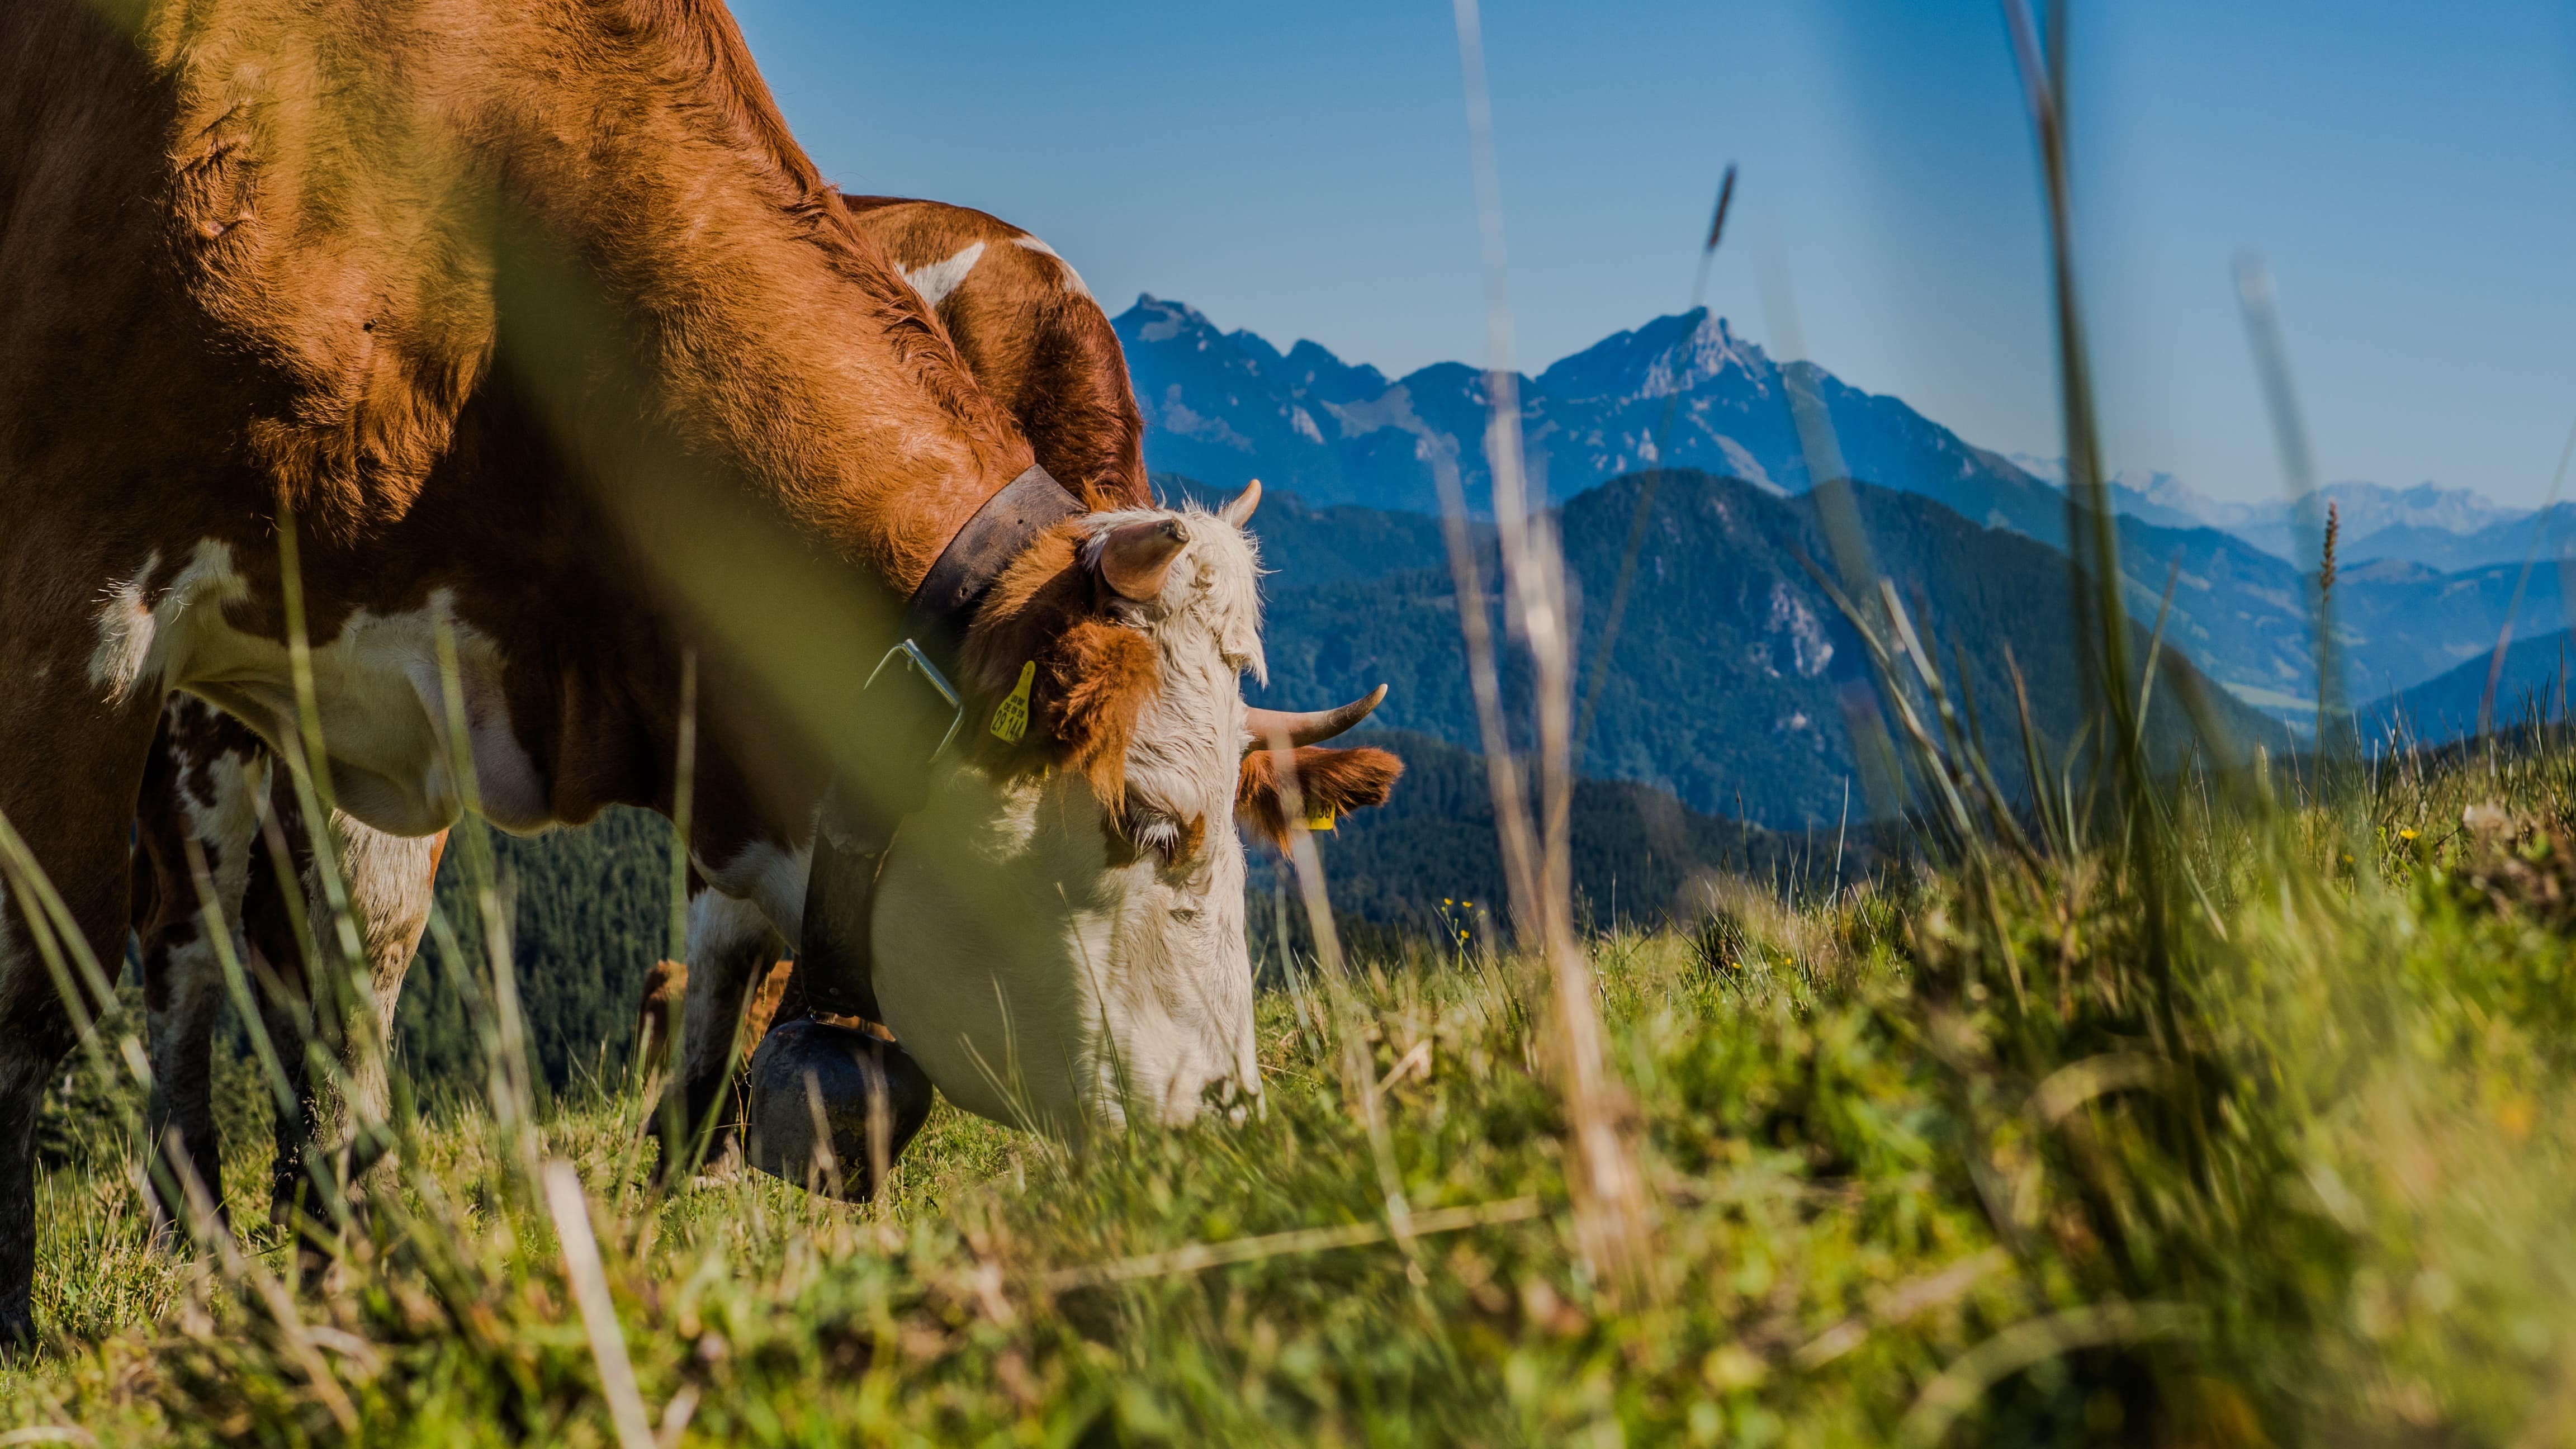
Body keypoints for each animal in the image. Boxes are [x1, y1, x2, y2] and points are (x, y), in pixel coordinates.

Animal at [0, 0, 1401, 1341]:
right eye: (1153, 822)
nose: (1233, 1133)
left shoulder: (412, 680)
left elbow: (377, 960)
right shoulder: (79, 596)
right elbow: (43, 977)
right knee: (182, 941)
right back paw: (194, 1228)